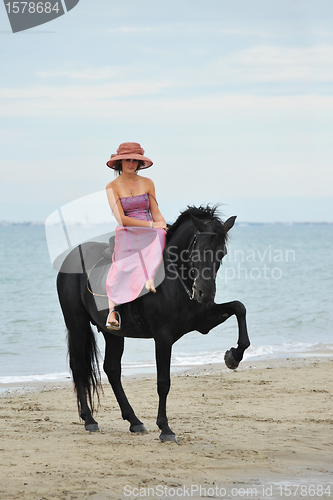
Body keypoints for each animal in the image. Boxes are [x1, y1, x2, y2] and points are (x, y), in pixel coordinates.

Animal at [56, 206, 249, 442]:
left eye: (222, 253)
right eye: (197, 252)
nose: (205, 293)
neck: (175, 279)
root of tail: (70, 257)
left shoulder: (204, 322)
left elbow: (239, 308)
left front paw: (234, 356)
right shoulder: (163, 338)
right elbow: (163, 382)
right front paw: (165, 429)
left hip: (113, 333)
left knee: (112, 369)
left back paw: (134, 420)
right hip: (77, 324)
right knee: (79, 366)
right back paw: (89, 419)